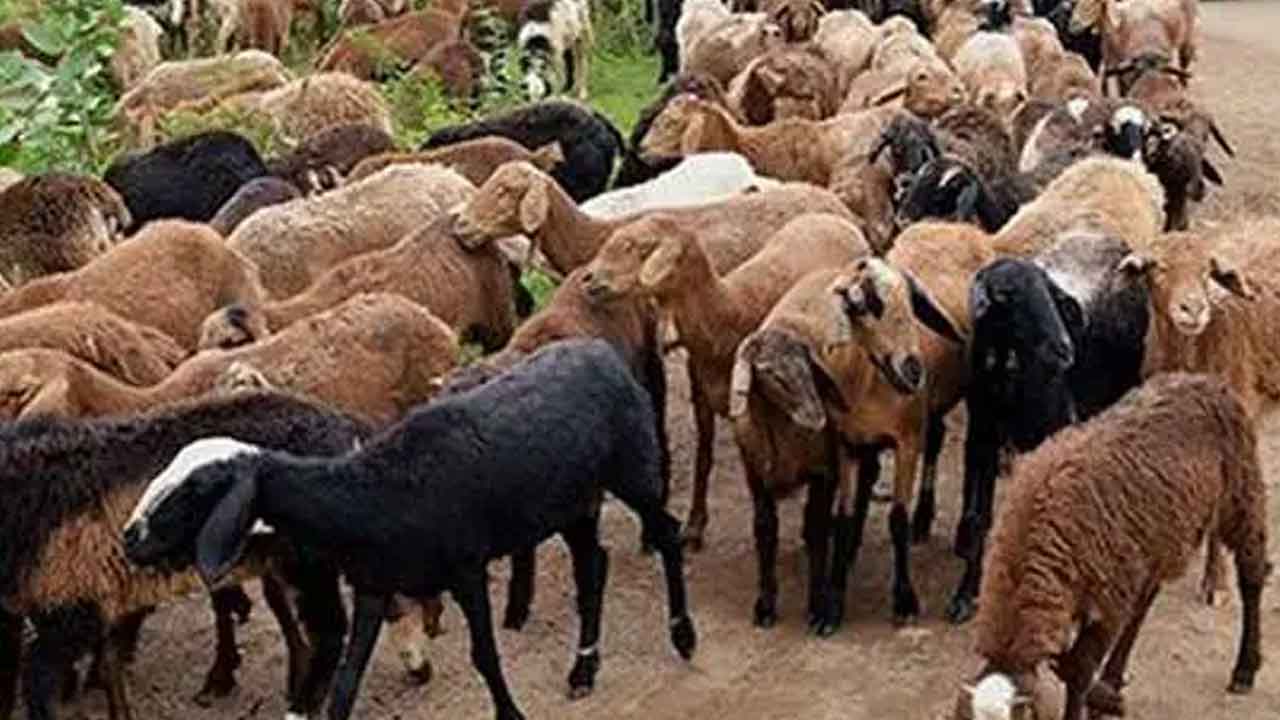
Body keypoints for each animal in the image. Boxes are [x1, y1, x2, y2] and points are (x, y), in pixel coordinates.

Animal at [0, 392, 368, 720]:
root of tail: (345, 426)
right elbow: (107, 665)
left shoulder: (72, 602)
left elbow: (40, 682)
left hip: (310, 559)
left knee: (329, 633)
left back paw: (300, 705)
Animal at [122, 338, 699, 720]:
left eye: (199, 488)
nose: (129, 537)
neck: (372, 495)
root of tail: (602, 351)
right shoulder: (374, 587)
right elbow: (346, 683)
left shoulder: (466, 571)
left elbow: (485, 657)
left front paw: (511, 715)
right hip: (572, 503)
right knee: (593, 566)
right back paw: (584, 669)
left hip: (633, 471)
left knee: (667, 534)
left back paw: (683, 635)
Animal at [582, 213, 871, 549]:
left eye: (636, 246)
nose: (587, 279)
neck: (726, 310)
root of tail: (834, 218)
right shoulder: (701, 395)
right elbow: (703, 457)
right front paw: (694, 525)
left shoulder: (744, 408)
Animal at [948, 230, 1151, 624]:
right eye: (1007, 297)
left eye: (1049, 293)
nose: (1064, 349)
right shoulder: (982, 435)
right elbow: (981, 518)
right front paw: (965, 594)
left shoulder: (1051, 431)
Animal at [961, 372, 1267, 720]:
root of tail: (1203, 380)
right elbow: (1072, 665)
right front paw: (1101, 698)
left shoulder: (1109, 596)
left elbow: (1079, 669)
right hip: (1155, 539)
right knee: (1145, 601)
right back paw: (1113, 679)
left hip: (1241, 492)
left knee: (1253, 573)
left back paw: (1245, 669)